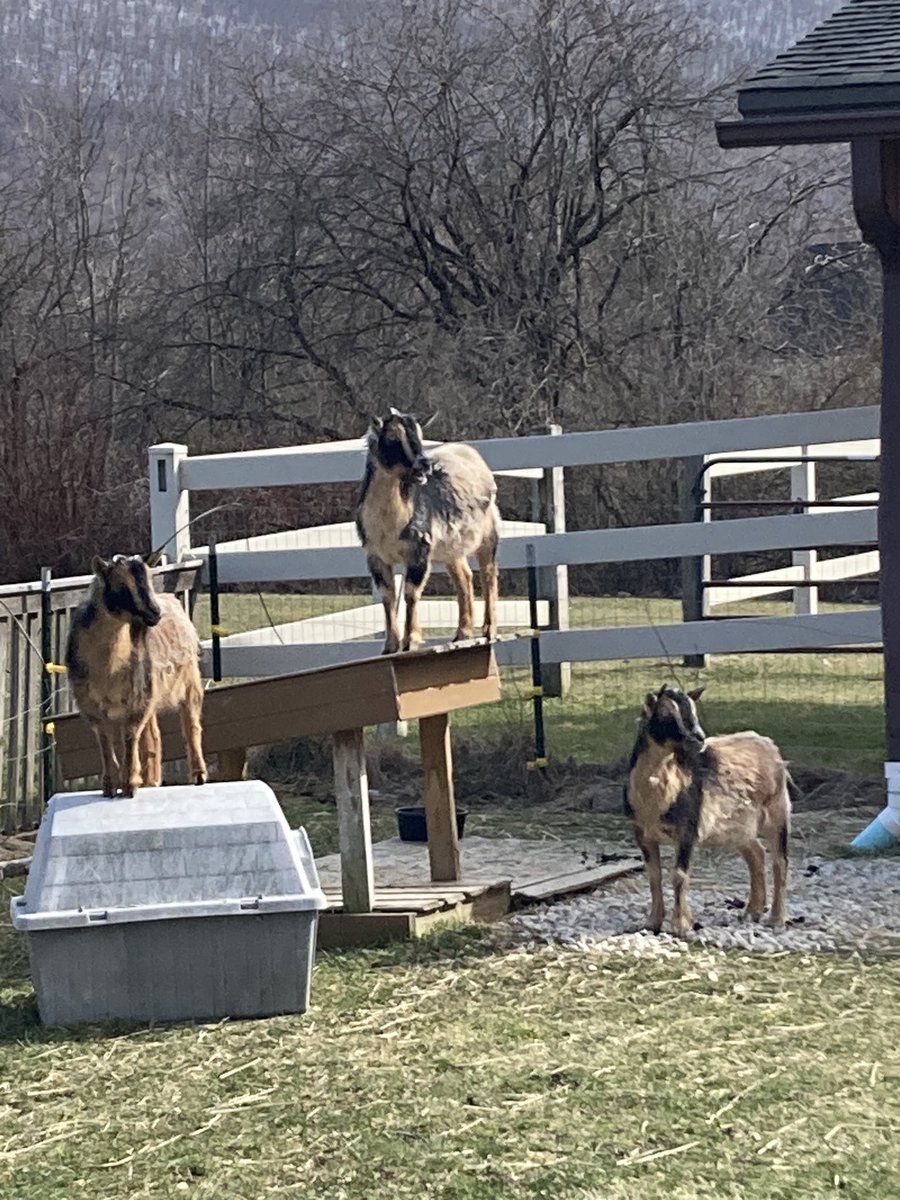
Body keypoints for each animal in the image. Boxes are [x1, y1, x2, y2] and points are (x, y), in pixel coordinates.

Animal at [65, 556, 210, 801]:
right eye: (121, 586)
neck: (109, 667)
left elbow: (130, 737)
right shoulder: (89, 704)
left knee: (192, 725)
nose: (155, 613)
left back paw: (198, 775)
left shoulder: (138, 699)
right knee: (153, 735)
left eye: (151, 578)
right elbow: (105, 741)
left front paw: (129, 784)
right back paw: (152, 781)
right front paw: (109, 786)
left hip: (190, 681)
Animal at [355, 412, 504, 657]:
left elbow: (410, 593)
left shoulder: (419, 550)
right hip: (452, 547)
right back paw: (462, 633)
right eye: (392, 439)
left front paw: (410, 641)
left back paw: (489, 630)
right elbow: (387, 596)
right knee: (464, 578)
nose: (424, 465)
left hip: (488, 533)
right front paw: (390, 646)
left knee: (488, 573)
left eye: (420, 435)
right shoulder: (375, 556)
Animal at [624, 686, 792, 936]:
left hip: (777, 812)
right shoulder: (643, 833)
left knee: (780, 861)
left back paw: (776, 919)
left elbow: (679, 875)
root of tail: (768, 745)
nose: (698, 738)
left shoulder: (687, 830)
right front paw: (652, 922)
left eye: (694, 710)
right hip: (737, 826)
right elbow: (654, 875)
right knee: (756, 853)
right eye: (664, 713)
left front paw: (681, 926)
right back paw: (752, 912)